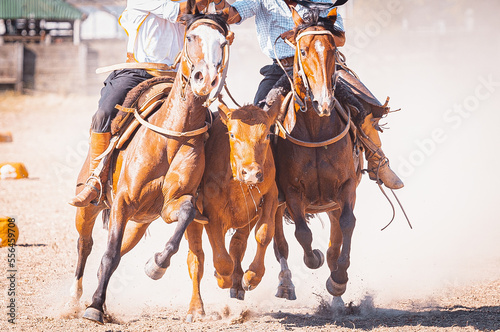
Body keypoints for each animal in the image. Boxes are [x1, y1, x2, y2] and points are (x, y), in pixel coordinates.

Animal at [67, 14, 231, 322]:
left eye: (223, 42)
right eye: (190, 37)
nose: (205, 79)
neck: (171, 136)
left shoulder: (172, 204)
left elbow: (187, 214)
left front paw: (157, 265)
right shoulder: (121, 202)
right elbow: (109, 254)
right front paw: (93, 308)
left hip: (140, 222)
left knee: (116, 251)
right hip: (90, 206)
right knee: (86, 245)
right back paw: (74, 299)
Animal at [185, 102, 280, 320]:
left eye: (267, 135)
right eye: (233, 134)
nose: (251, 172)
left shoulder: (271, 194)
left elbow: (263, 234)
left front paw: (252, 277)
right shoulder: (211, 212)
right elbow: (222, 260)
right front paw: (222, 278)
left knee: (237, 244)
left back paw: (237, 283)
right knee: (196, 259)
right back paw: (195, 308)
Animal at [272, 8, 362, 304]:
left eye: (333, 49)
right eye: (303, 50)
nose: (324, 102)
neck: (315, 131)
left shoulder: (346, 187)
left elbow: (347, 224)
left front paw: (338, 280)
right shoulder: (291, 192)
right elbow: (302, 233)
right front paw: (315, 258)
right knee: (279, 243)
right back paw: (285, 284)